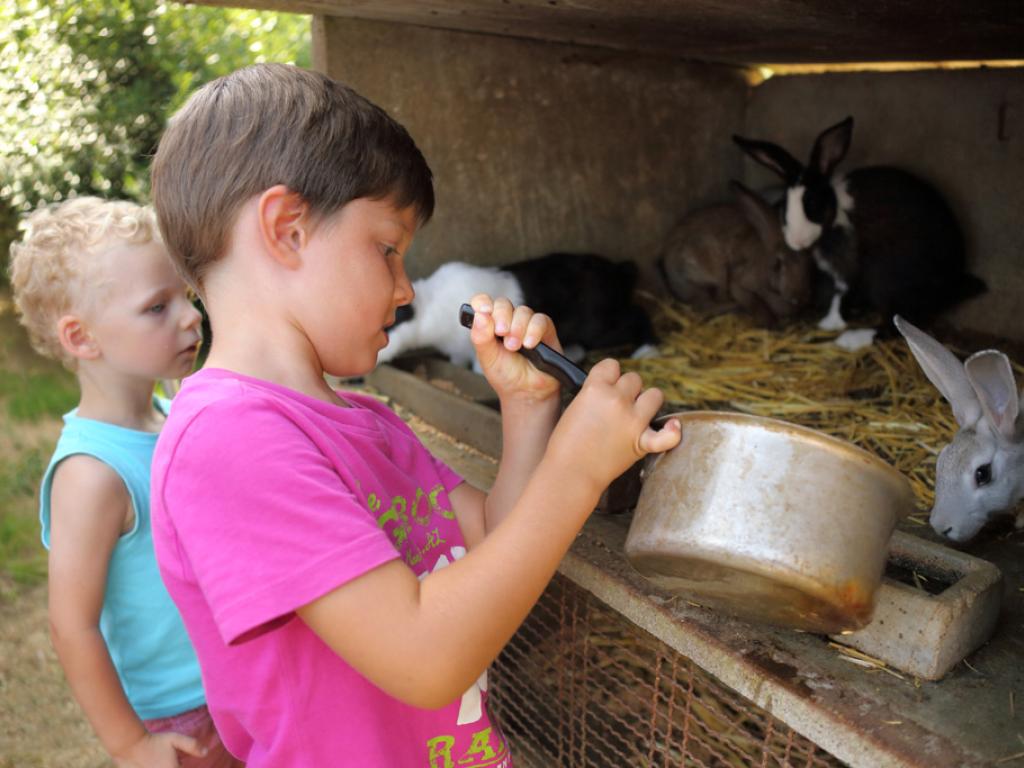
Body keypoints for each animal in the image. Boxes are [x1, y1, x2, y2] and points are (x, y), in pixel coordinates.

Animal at [380, 253, 659, 370]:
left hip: (600, 327)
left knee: (638, 315)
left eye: (387, 328)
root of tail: (619, 271)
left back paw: (648, 351)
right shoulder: (457, 353)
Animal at [655, 182, 815, 325]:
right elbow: (753, 301)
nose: (799, 297)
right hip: (716, 269)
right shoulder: (739, 282)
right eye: (778, 264)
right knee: (710, 303)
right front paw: (768, 322)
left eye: (809, 261)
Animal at [733, 116, 987, 348]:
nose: (797, 241)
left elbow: (841, 293)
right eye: (785, 204)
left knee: (895, 325)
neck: (835, 212)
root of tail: (952, 284)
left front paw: (829, 324)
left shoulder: (846, 263)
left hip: (887, 280)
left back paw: (851, 339)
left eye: (813, 203)